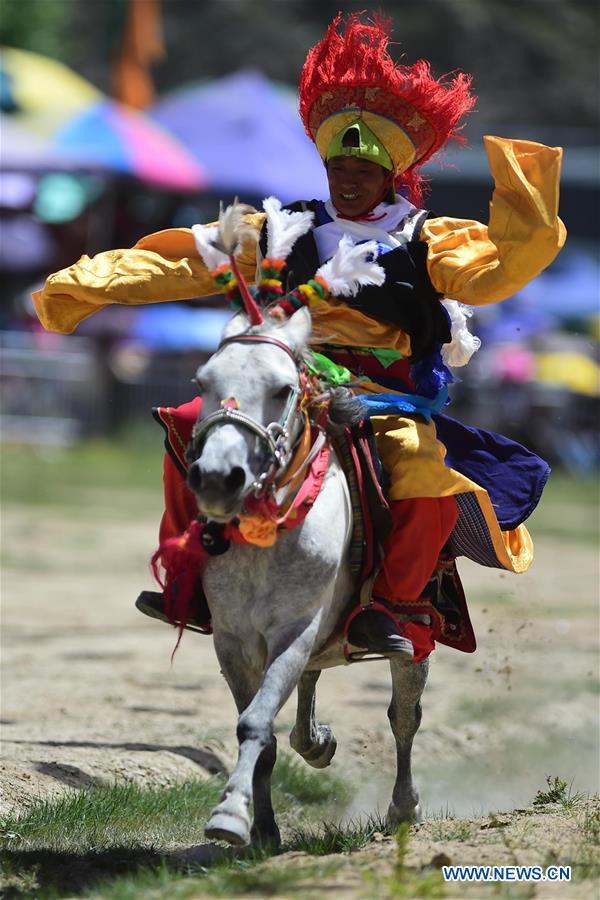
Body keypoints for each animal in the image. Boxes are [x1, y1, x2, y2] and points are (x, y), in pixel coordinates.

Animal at [182, 306, 426, 848]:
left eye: (282, 389)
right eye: (203, 381)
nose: (217, 478)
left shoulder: (295, 628)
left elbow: (255, 722)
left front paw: (229, 816)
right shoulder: (232, 641)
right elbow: (262, 732)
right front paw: (262, 831)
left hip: (414, 633)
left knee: (403, 717)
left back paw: (403, 808)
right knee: (310, 690)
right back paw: (316, 743)